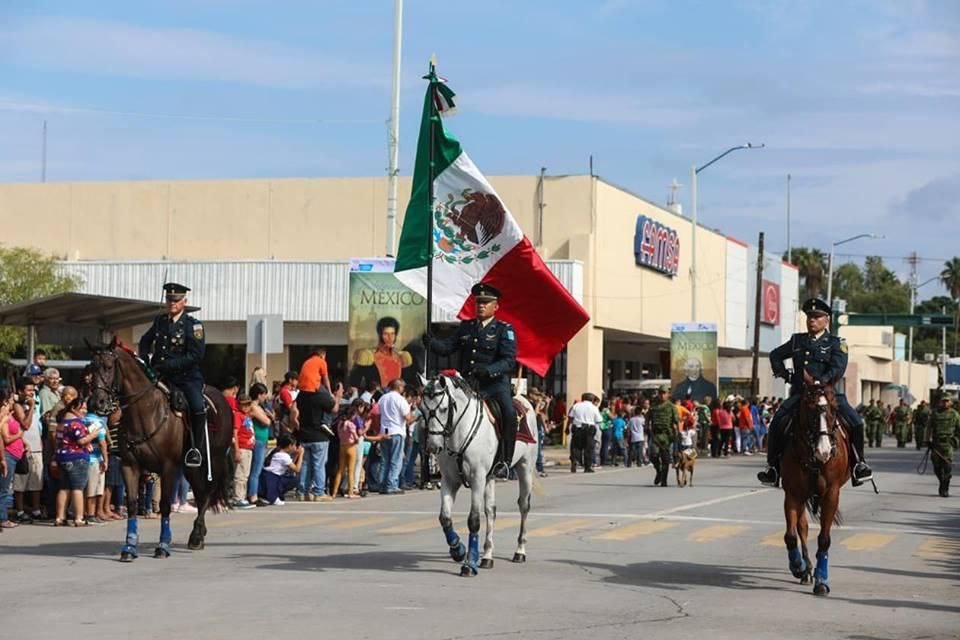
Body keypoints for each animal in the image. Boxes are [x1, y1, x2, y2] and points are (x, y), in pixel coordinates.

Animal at [87, 340, 234, 560]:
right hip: (190, 468)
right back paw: (198, 533)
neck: (146, 412)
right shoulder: (129, 466)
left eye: (108, 366)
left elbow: (165, 505)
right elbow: (132, 505)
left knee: (207, 492)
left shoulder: (168, 468)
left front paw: (163, 546)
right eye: (90, 368)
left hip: (212, 460)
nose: (97, 403)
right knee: (200, 493)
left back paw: (196, 535)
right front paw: (129, 547)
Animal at [420, 372, 540, 576]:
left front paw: (469, 563)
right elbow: (445, 518)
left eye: (443, 409)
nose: (432, 447)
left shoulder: (477, 478)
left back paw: (519, 551)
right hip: (490, 477)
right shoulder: (449, 480)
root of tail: (523, 398)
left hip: (525, 468)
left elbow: (474, 520)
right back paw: (487, 556)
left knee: (524, 506)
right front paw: (458, 550)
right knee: (491, 510)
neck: (459, 433)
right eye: (421, 409)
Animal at [780, 376, 848, 596]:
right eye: (809, 409)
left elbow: (824, 539)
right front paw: (798, 566)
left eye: (834, 409)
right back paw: (806, 569)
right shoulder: (792, 493)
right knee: (802, 527)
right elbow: (791, 536)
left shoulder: (831, 494)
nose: (824, 451)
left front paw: (821, 580)